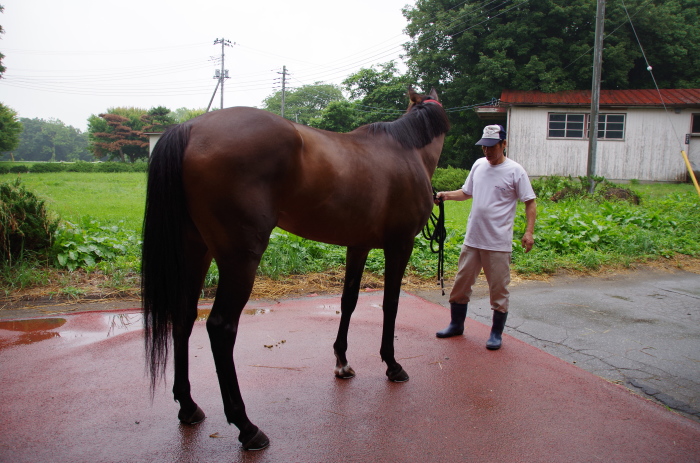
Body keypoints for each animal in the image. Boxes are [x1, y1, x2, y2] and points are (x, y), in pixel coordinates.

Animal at [141, 86, 448, 450]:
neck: (406, 150)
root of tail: (189, 128)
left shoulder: (358, 245)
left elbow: (349, 301)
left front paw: (342, 362)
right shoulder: (399, 245)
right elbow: (391, 304)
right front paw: (392, 364)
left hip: (195, 250)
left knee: (184, 316)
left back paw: (188, 407)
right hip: (239, 258)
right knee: (220, 327)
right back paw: (247, 427)